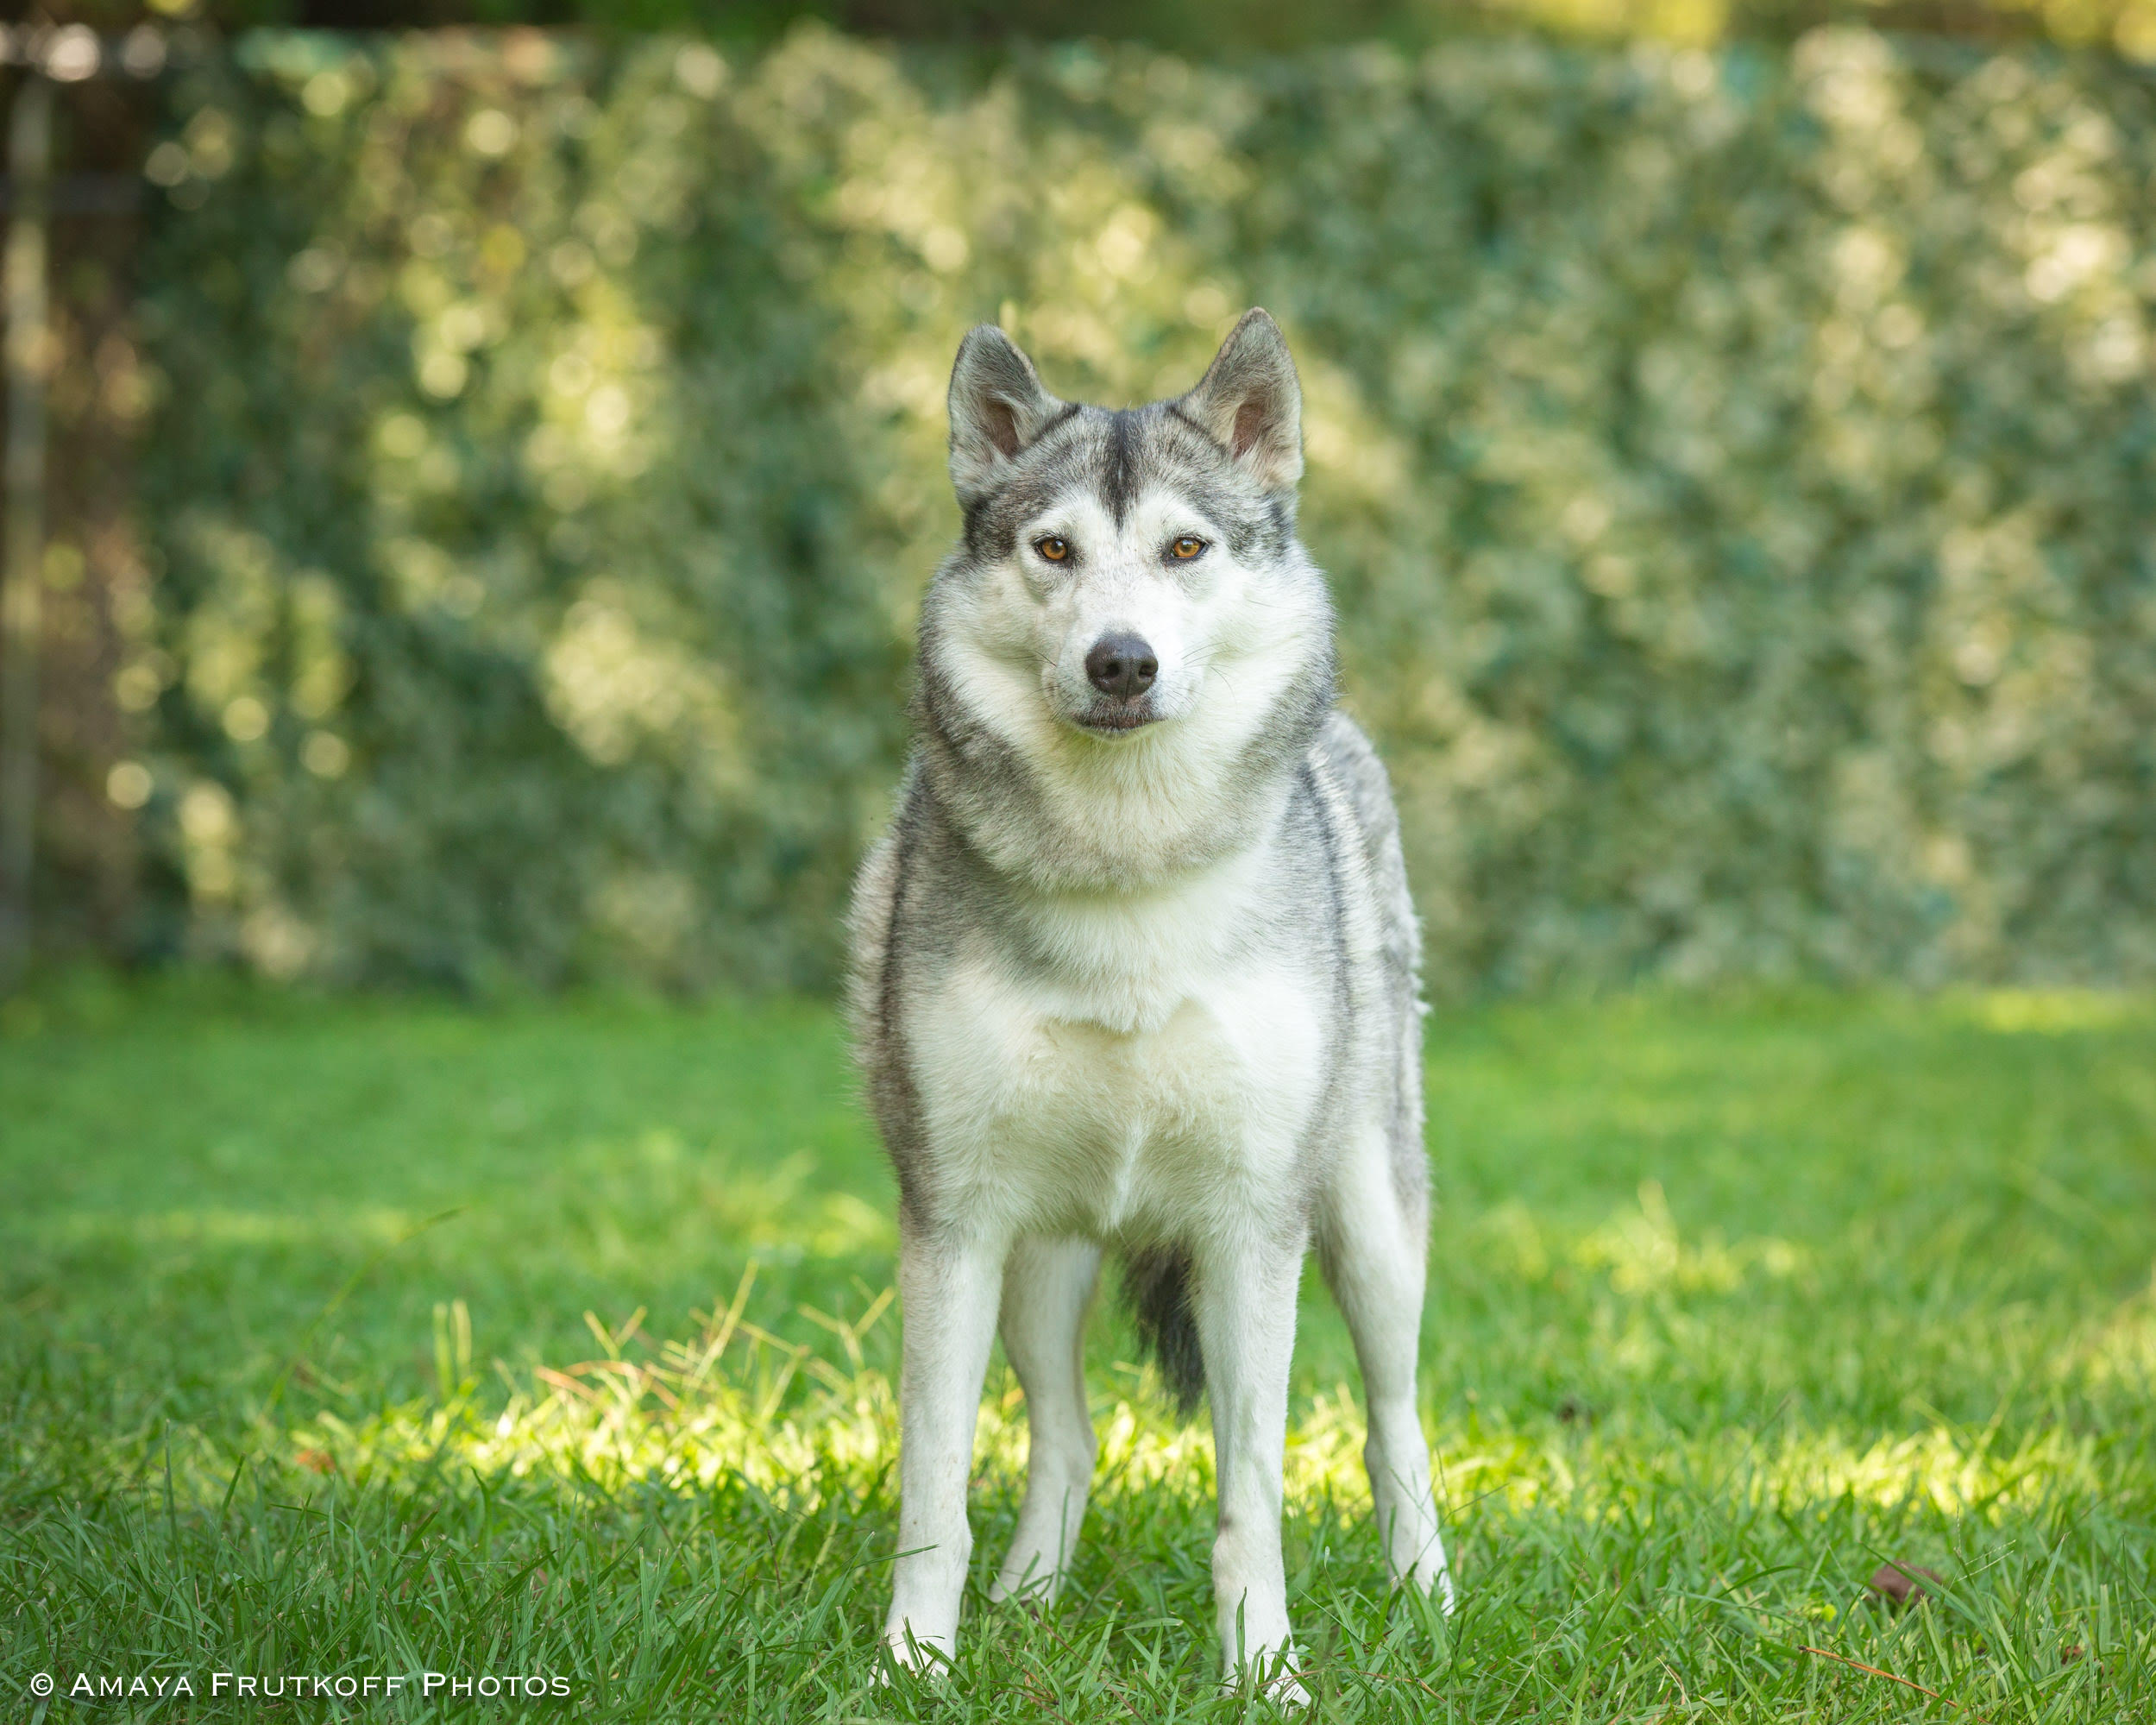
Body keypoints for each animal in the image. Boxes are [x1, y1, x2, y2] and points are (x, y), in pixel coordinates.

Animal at [845, 305, 1449, 1682]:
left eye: (1184, 547)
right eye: (1054, 548)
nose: (1121, 662)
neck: (1124, 869)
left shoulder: (1250, 1229)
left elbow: (1251, 1494)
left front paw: (1263, 1671)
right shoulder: (951, 1222)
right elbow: (932, 1483)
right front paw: (915, 1662)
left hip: (1369, 1227)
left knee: (1393, 1419)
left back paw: (1429, 1596)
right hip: (1040, 1256)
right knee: (1065, 1434)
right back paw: (1030, 1597)